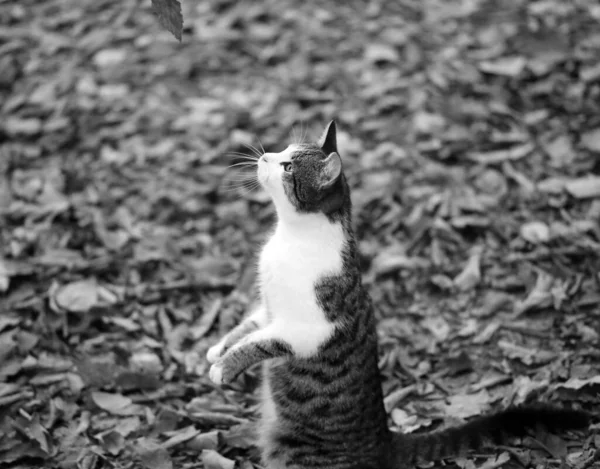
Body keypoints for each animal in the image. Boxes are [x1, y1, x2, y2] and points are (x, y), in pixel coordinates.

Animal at [207, 120, 592, 468]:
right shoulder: (269, 308)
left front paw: (225, 368)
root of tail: (384, 440)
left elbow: (262, 342)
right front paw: (218, 349)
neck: (291, 237)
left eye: (287, 166)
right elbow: (248, 329)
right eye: (283, 151)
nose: (263, 156)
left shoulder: (308, 328)